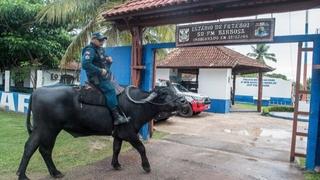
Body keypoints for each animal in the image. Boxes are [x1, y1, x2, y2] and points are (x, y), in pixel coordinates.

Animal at [16, 84, 188, 180]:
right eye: (164, 93)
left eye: (174, 90)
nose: (184, 101)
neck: (138, 105)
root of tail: (37, 91)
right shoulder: (130, 133)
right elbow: (141, 148)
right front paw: (146, 167)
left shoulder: (118, 134)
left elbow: (116, 148)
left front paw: (116, 164)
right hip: (47, 129)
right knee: (38, 148)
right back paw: (35, 174)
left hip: (44, 129)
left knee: (37, 148)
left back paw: (40, 173)